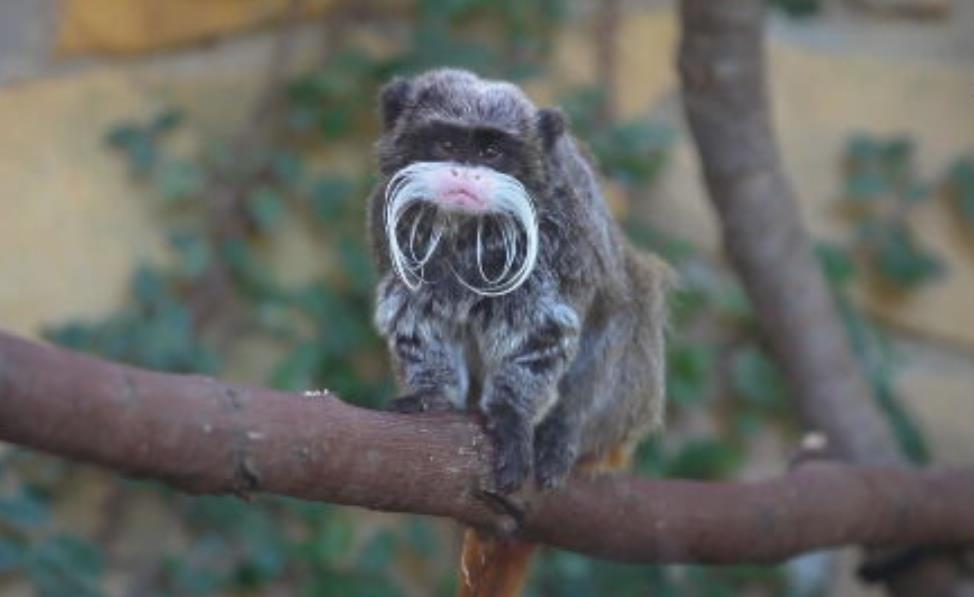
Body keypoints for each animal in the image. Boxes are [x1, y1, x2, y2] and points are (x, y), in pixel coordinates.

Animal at [370, 68, 676, 592]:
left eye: (492, 150)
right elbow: (417, 317)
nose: (465, 173)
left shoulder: (553, 245)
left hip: (629, 406)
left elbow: (542, 331)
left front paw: (513, 417)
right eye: (447, 142)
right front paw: (431, 395)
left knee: (630, 303)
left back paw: (562, 434)